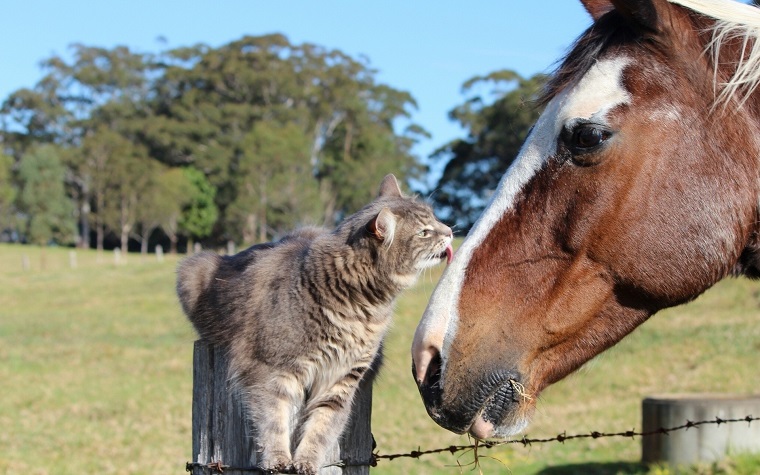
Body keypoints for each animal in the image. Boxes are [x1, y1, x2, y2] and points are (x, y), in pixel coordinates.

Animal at [178, 176, 452, 475]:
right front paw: (278, 459)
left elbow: (322, 427)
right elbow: (273, 421)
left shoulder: (342, 379)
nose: (450, 231)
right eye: (424, 232)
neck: (362, 308)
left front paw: (307, 461)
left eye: (436, 220)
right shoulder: (268, 370)